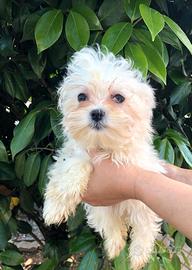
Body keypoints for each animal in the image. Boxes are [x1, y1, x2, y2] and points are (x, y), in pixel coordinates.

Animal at [43, 46, 165, 270]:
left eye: (119, 98)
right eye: (82, 97)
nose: (97, 113)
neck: (102, 145)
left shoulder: (140, 165)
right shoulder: (71, 155)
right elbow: (72, 168)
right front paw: (55, 209)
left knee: (144, 229)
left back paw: (138, 256)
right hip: (100, 210)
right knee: (111, 226)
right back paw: (114, 245)